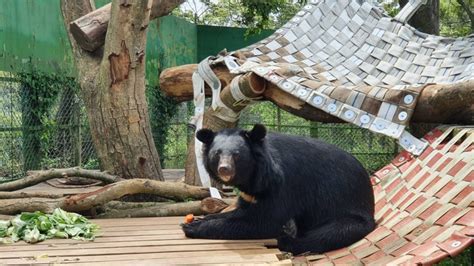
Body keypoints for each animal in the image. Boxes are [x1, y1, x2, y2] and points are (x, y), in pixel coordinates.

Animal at [183, 123, 376, 255]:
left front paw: (191, 228)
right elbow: (238, 212)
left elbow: (264, 220)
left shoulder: (283, 184)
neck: (254, 176)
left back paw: (286, 241)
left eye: (236, 155)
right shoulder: (251, 191)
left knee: (329, 234)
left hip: (350, 213)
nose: (224, 169)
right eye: (217, 153)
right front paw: (199, 219)